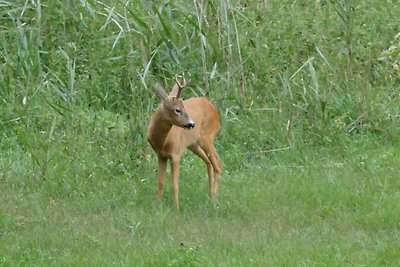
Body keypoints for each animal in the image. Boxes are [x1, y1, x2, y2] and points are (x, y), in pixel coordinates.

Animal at [146, 76, 222, 210]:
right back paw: (210, 195)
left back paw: (214, 200)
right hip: (193, 144)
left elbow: (175, 186)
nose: (191, 124)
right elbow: (160, 183)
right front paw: (157, 206)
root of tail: (215, 111)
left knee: (218, 165)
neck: (162, 141)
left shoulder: (175, 154)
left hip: (207, 137)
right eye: (177, 110)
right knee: (209, 163)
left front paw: (177, 209)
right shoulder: (161, 155)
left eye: (184, 108)